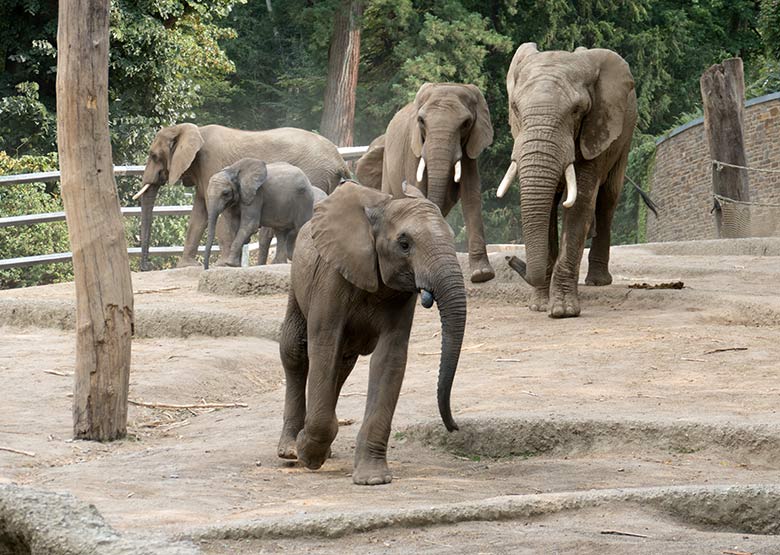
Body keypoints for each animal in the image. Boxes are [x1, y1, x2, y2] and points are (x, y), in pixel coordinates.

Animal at [136, 126, 348, 274]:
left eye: (153, 156)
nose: (145, 267)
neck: (193, 130)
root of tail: (340, 160)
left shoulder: (211, 164)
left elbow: (217, 217)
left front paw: (223, 264)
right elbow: (199, 215)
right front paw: (186, 266)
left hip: (315, 175)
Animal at [278, 181, 466, 486]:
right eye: (404, 244)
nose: (454, 427)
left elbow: (389, 358)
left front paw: (373, 479)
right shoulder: (330, 278)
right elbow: (324, 345)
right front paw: (309, 455)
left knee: (342, 365)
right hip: (298, 280)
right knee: (296, 350)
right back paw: (291, 450)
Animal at [354, 83, 494, 282]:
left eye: (466, 123)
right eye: (421, 121)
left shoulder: (469, 151)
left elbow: (471, 195)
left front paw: (482, 275)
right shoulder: (414, 149)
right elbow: (418, 187)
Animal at [496, 43, 636, 320]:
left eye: (576, 111)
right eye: (515, 108)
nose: (510, 259)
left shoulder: (596, 128)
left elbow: (580, 203)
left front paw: (563, 311)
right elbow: (548, 208)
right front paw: (539, 306)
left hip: (624, 136)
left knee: (607, 200)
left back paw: (597, 282)